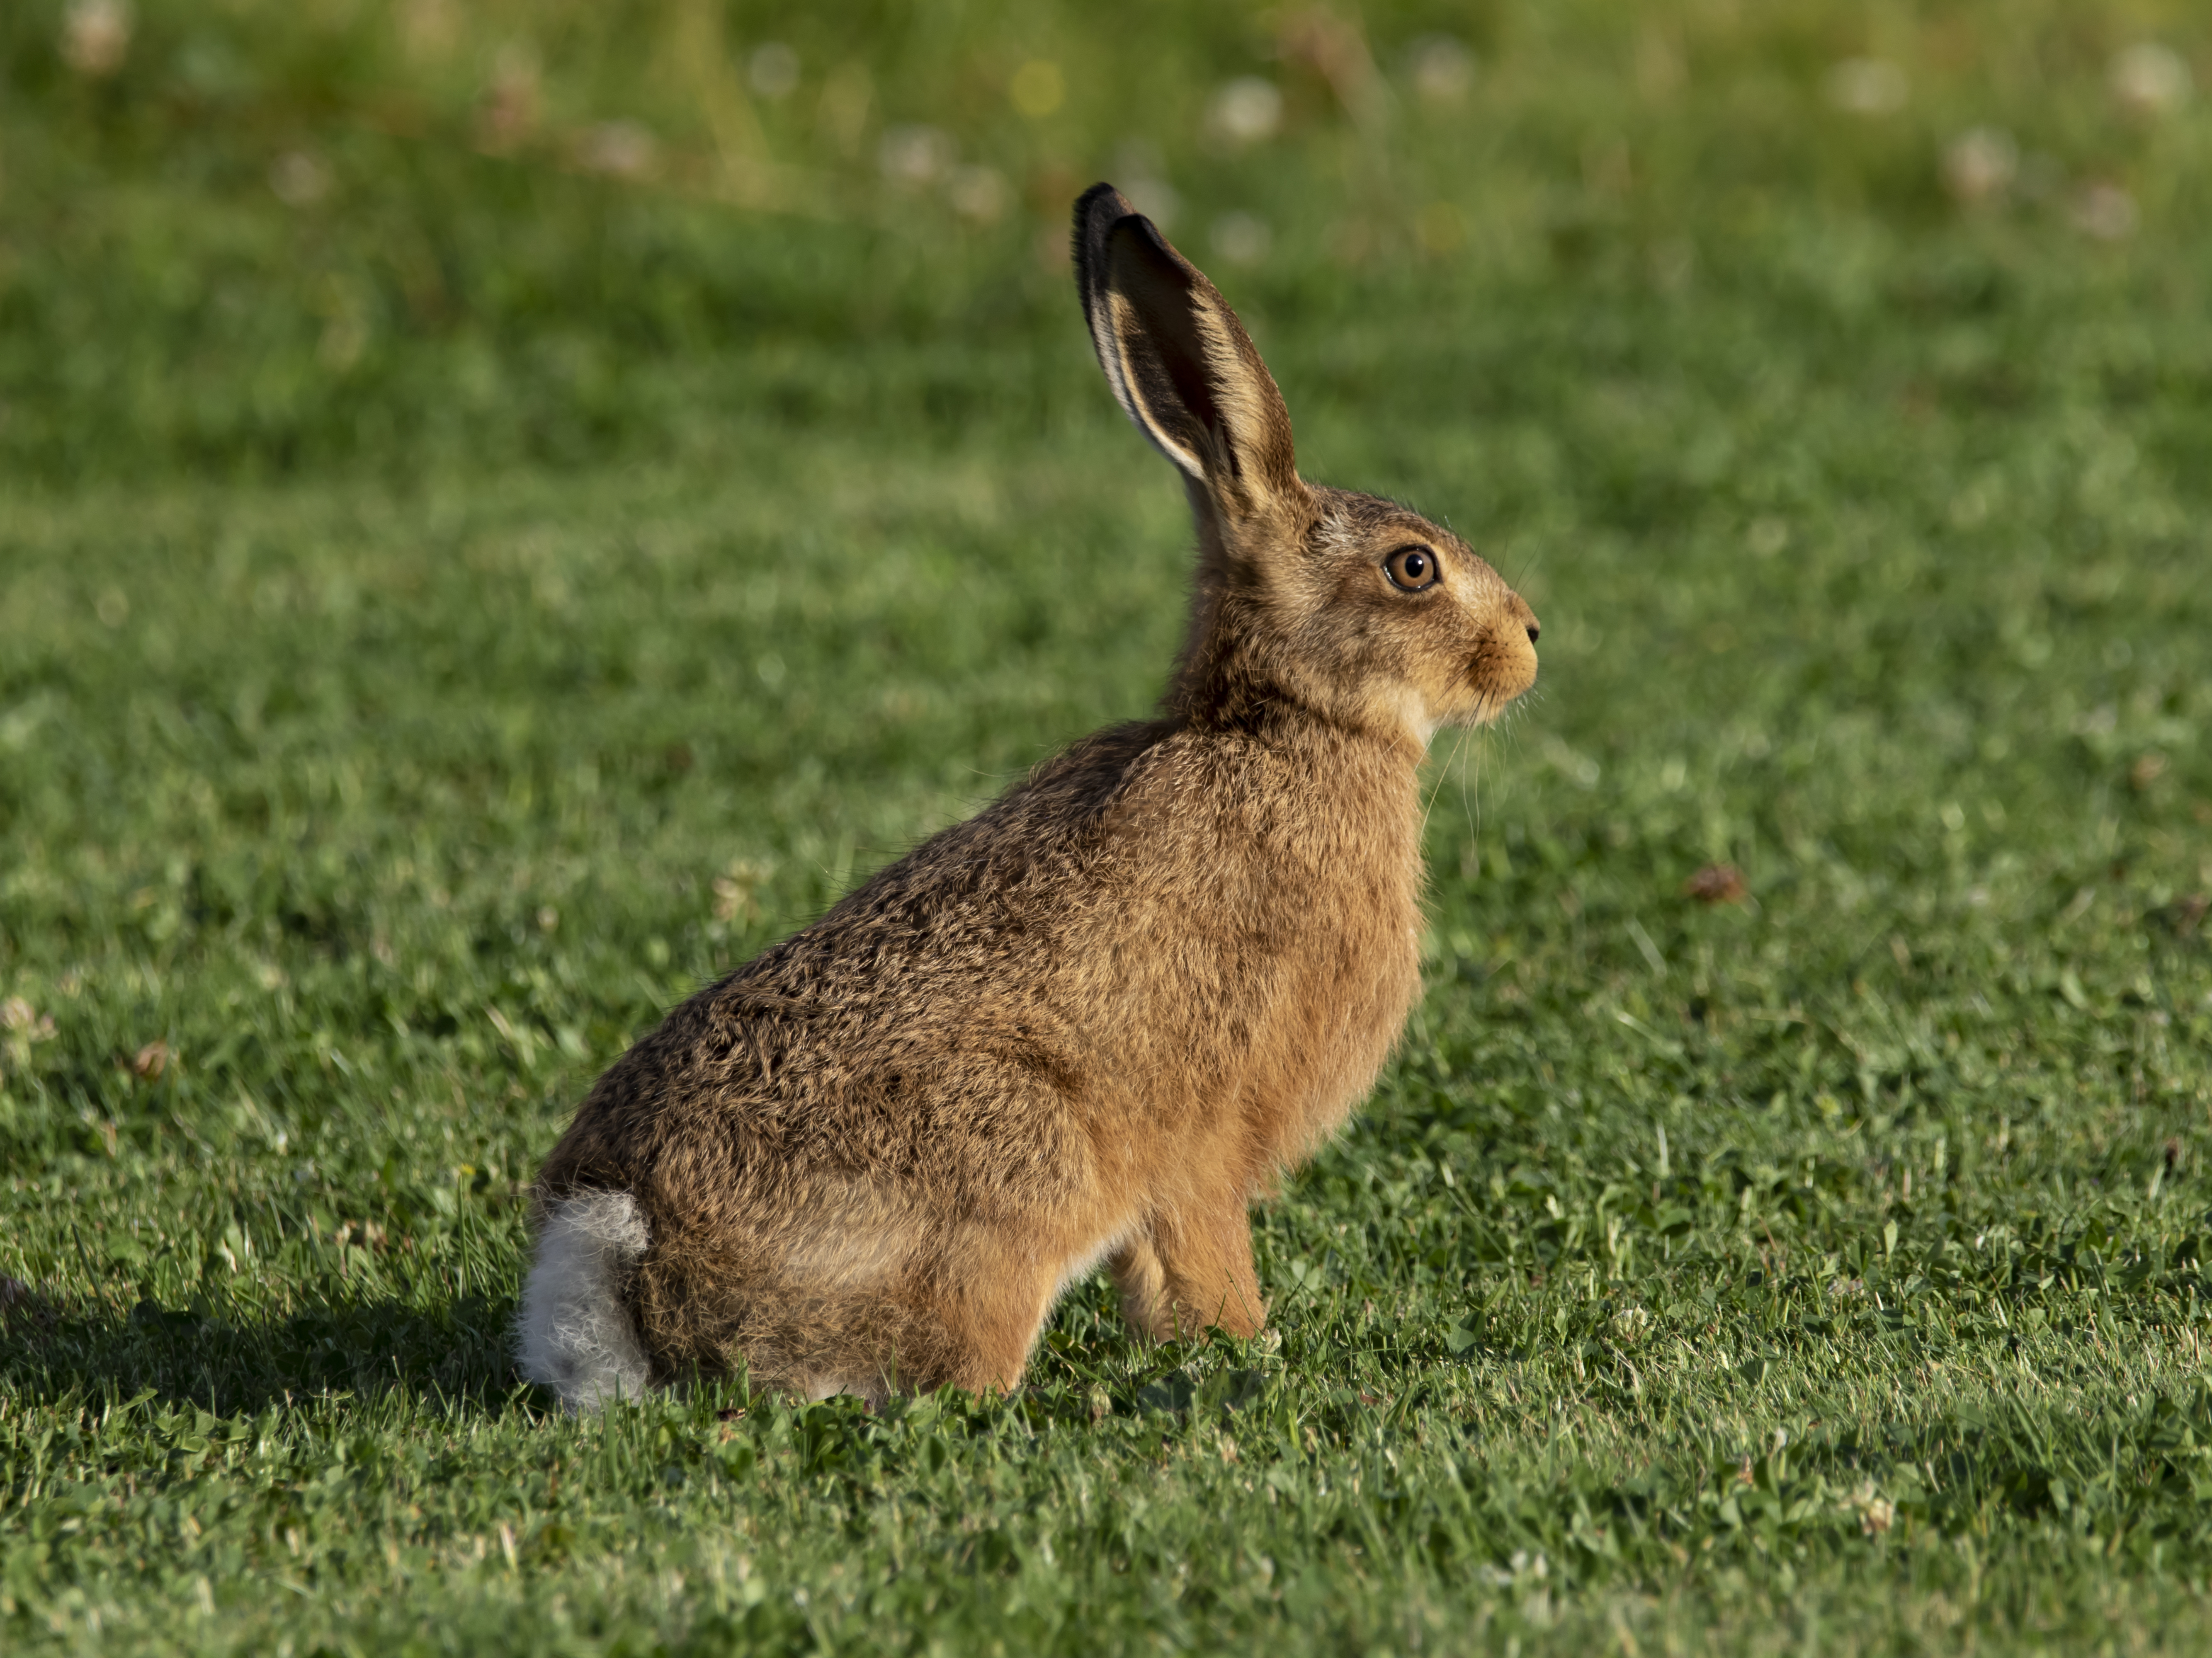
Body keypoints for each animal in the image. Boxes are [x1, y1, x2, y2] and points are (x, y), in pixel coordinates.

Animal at [517, 183, 1540, 1412]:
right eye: (1412, 568)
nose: (1530, 643)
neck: (1283, 724)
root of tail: (611, 1247)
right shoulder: (1201, 1139)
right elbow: (1200, 1252)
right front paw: (1245, 1345)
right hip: (1018, 1161)